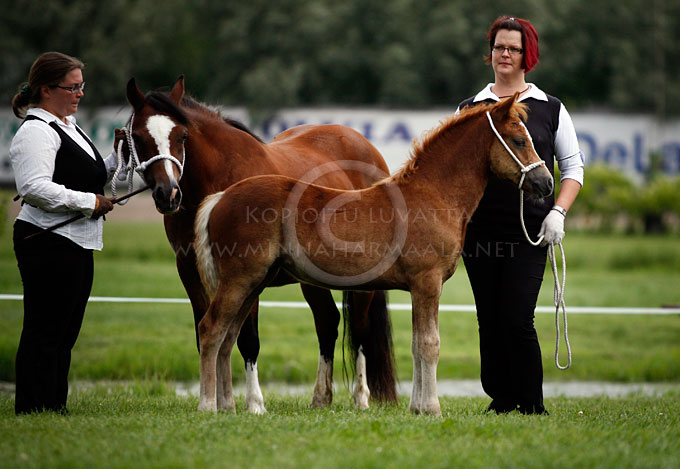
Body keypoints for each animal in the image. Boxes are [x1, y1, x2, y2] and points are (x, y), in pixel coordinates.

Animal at [121, 76, 396, 410]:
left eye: (182, 135)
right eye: (137, 136)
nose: (168, 194)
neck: (217, 179)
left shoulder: (248, 274)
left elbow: (248, 338)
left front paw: (253, 403)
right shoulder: (189, 270)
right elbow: (208, 334)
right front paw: (217, 400)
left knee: (358, 329)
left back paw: (360, 398)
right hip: (313, 278)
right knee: (327, 323)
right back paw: (321, 398)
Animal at [191, 95, 552, 414]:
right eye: (519, 140)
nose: (546, 183)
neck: (433, 195)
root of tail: (221, 198)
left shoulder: (418, 289)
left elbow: (416, 344)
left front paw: (416, 408)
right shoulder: (428, 283)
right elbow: (429, 344)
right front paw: (432, 408)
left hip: (253, 284)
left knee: (228, 337)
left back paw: (228, 405)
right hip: (240, 280)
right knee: (211, 329)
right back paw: (208, 405)